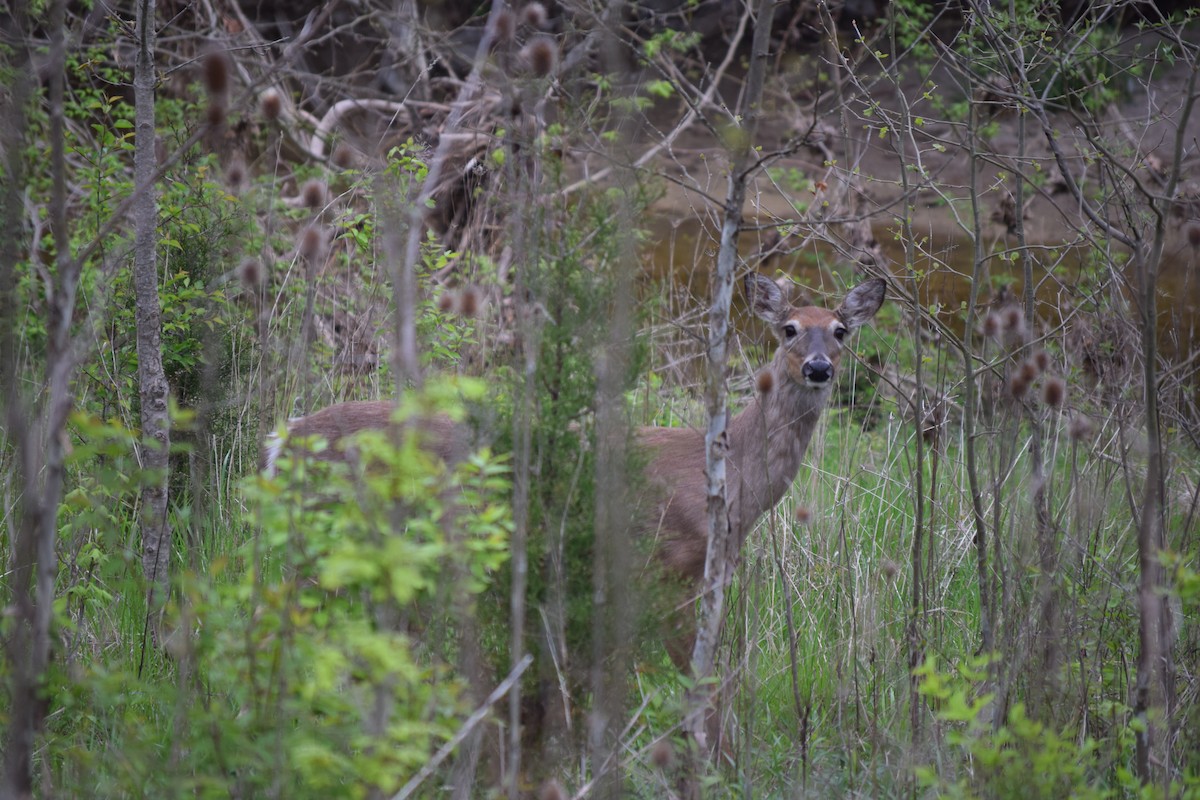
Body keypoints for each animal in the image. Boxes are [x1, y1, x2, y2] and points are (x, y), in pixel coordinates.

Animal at [262, 272, 886, 757]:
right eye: (788, 328)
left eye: (840, 330)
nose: (818, 368)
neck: (731, 478)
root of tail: (284, 437)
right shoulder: (669, 562)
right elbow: (695, 676)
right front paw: (715, 761)